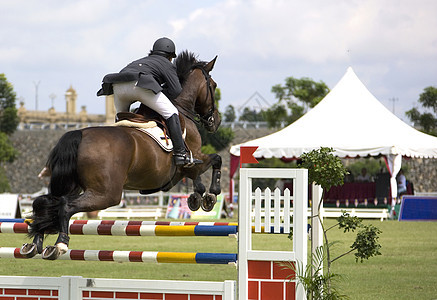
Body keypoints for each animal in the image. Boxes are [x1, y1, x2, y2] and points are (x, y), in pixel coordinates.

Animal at [20, 51, 221, 260]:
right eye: (213, 85)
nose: (216, 121)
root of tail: (78, 134)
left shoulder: (186, 168)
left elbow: (198, 175)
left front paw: (196, 197)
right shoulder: (193, 159)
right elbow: (216, 159)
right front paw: (210, 195)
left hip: (73, 185)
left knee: (45, 202)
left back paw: (35, 243)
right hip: (107, 194)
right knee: (65, 206)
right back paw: (60, 244)